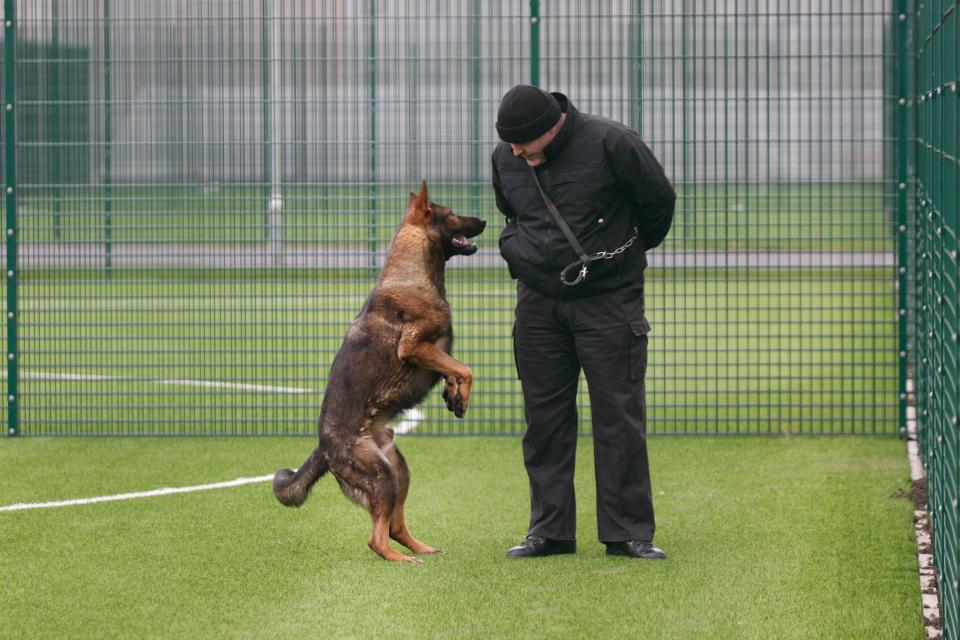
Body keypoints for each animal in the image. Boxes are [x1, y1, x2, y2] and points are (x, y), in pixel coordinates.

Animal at [274, 182, 488, 564]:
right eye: (451, 214)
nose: (485, 220)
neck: (412, 273)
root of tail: (324, 449)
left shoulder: (435, 352)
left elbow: (454, 367)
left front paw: (452, 394)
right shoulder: (415, 347)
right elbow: (466, 368)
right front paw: (461, 395)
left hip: (398, 471)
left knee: (394, 526)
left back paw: (421, 549)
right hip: (383, 477)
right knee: (377, 537)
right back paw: (401, 559)